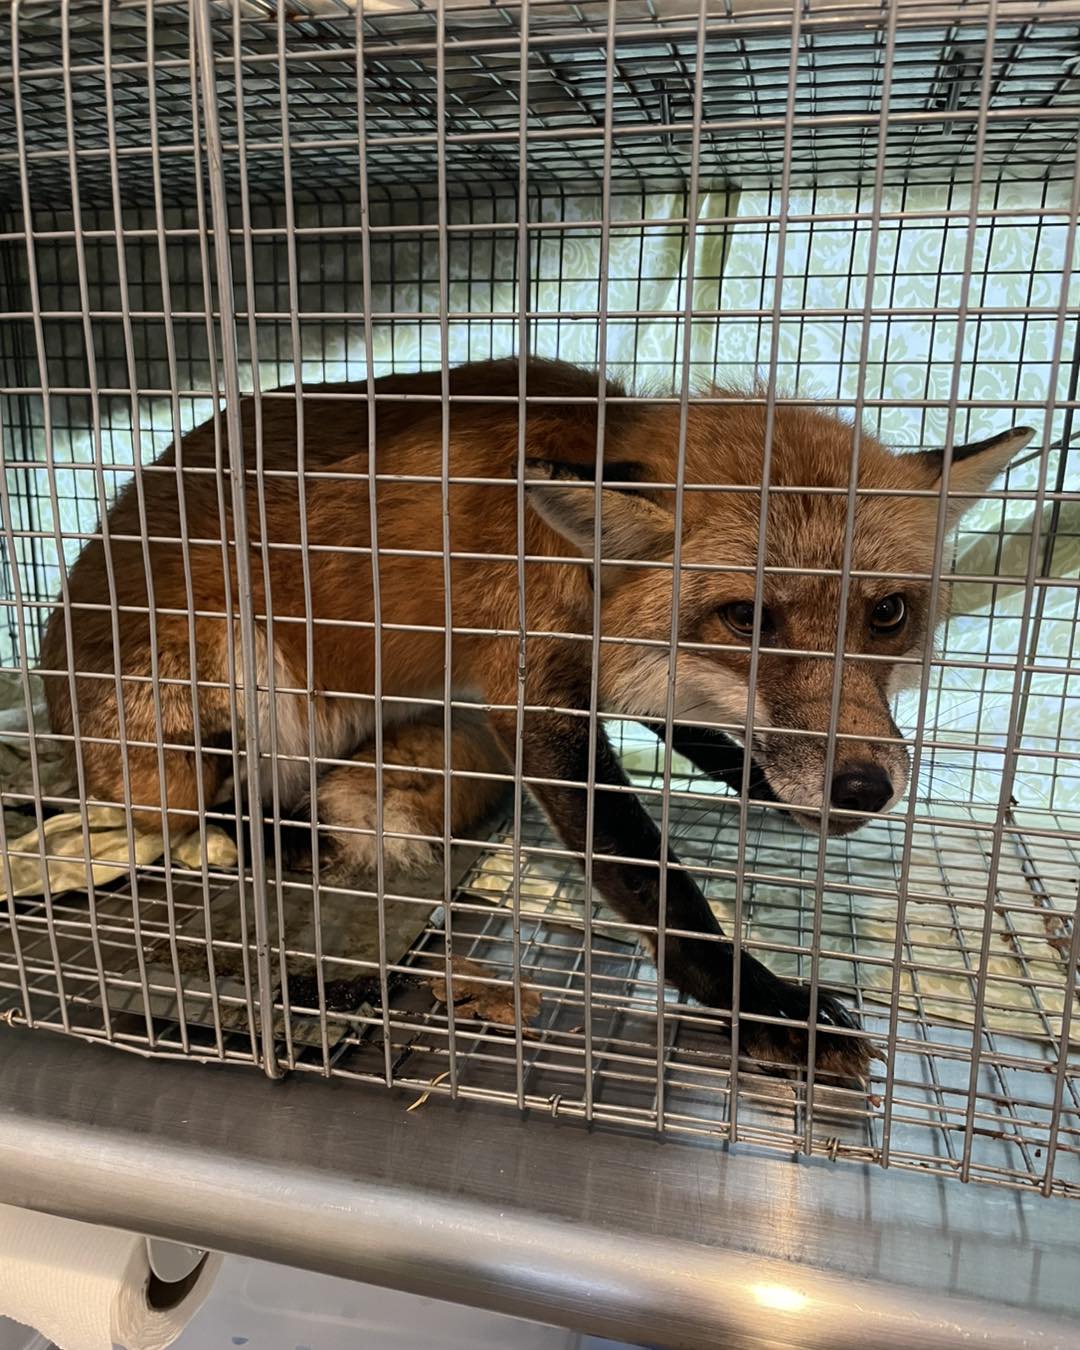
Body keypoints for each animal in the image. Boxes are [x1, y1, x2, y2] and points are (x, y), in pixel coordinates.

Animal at [39, 358, 1032, 1082]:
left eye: (889, 615)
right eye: (747, 619)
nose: (864, 787)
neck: (567, 545)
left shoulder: (598, 679)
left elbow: (704, 738)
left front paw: (764, 790)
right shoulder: (531, 698)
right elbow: (652, 880)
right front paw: (763, 1005)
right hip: (230, 684)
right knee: (192, 815)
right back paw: (271, 836)